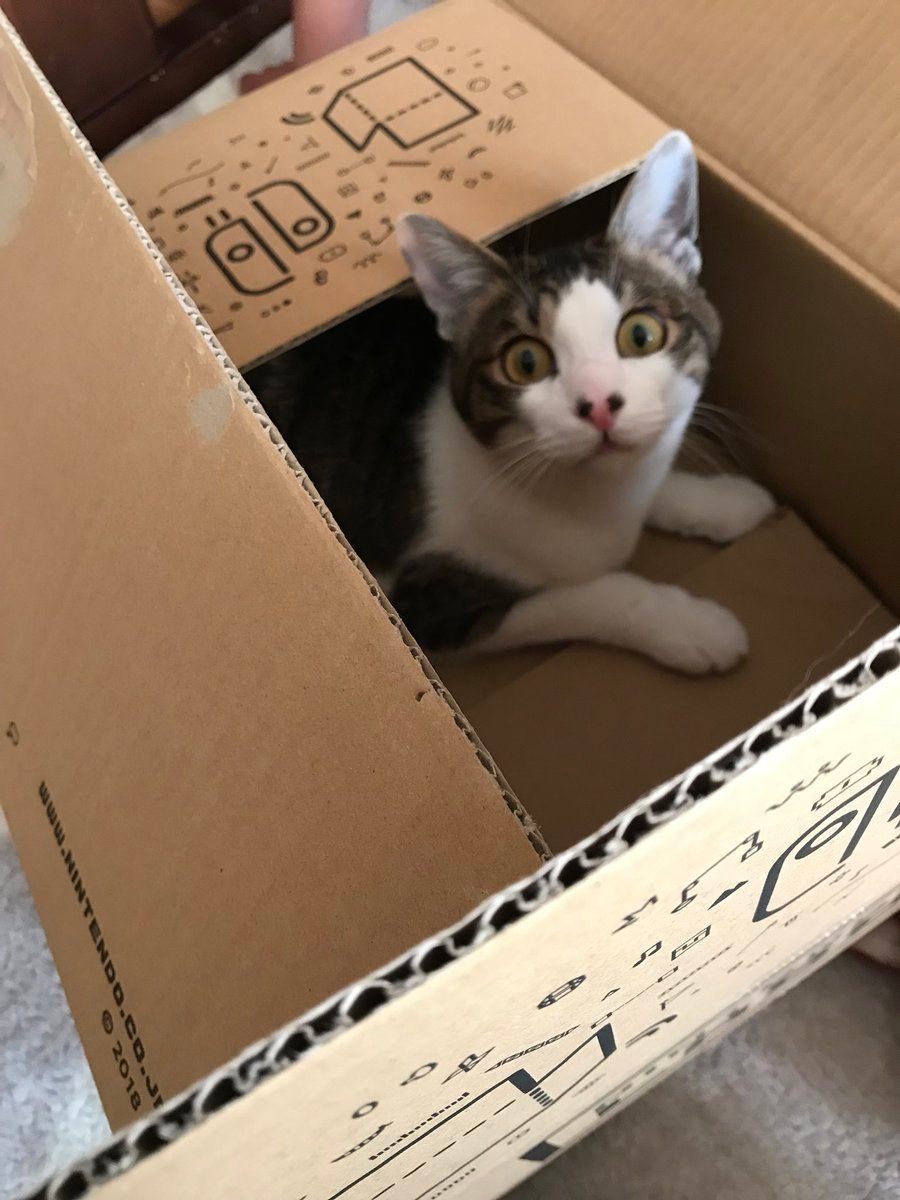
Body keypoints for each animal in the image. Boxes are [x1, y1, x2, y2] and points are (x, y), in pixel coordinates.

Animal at [247, 131, 775, 671]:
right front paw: (691, 626)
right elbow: (589, 595)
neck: (591, 496)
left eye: (641, 334)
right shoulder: (427, 606)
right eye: (525, 362)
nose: (599, 404)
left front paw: (724, 500)